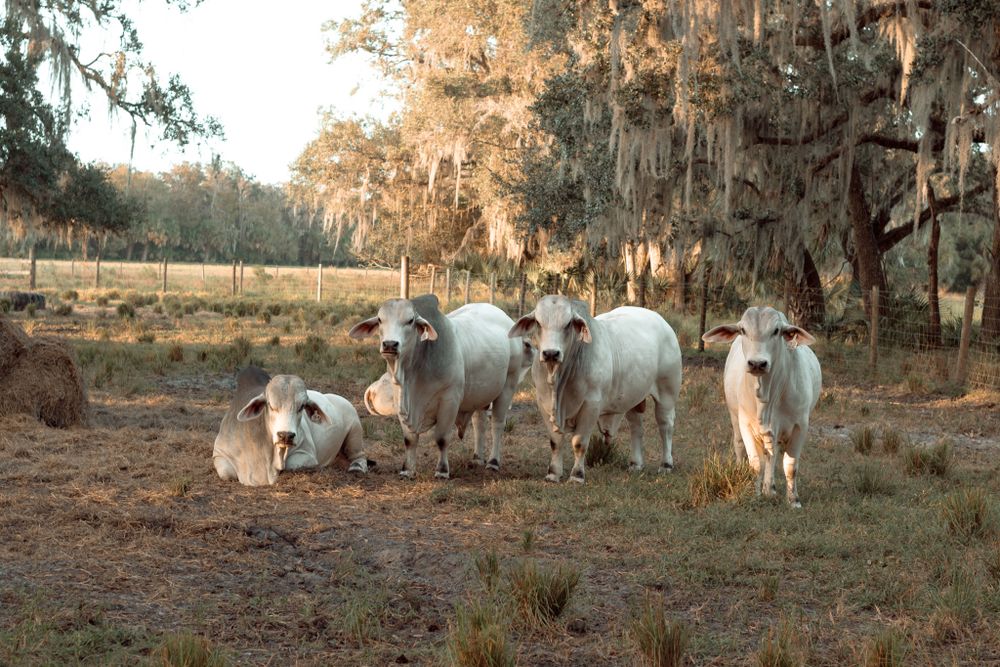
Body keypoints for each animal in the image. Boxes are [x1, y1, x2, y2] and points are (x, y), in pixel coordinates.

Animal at [213, 366, 369, 486]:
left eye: (302, 407)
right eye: (271, 405)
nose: (286, 435)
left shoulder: (307, 454)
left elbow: (288, 465)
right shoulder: (219, 453)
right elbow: (227, 473)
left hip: (355, 432)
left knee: (360, 455)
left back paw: (357, 467)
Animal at [349, 295, 526, 479]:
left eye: (410, 320)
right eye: (379, 319)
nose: (390, 344)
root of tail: (503, 315)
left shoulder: (450, 401)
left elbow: (441, 438)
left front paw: (442, 470)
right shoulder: (401, 403)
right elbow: (410, 440)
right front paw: (407, 470)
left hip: (507, 386)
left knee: (497, 424)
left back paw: (493, 462)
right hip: (481, 395)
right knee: (479, 423)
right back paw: (477, 458)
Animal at [508, 295, 683, 483]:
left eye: (568, 324)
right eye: (538, 323)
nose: (551, 353)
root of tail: (662, 321)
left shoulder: (591, 405)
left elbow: (579, 443)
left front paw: (577, 476)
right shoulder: (543, 404)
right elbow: (555, 442)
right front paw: (553, 474)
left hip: (667, 393)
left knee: (665, 426)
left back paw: (666, 464)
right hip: (632, 397)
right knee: (636, 427)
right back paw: (635, 464)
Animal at [701, 306, 822, 508]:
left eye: (776, 331)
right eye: (743, 330)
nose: (757, 363)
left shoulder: (800, 426)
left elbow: (790, 466)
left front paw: (793, 500)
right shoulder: (746, 424)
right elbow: (756, 463)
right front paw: (755, 494)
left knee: (772, 455)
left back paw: (770, 488)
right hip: (735, 419)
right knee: (742, 448)